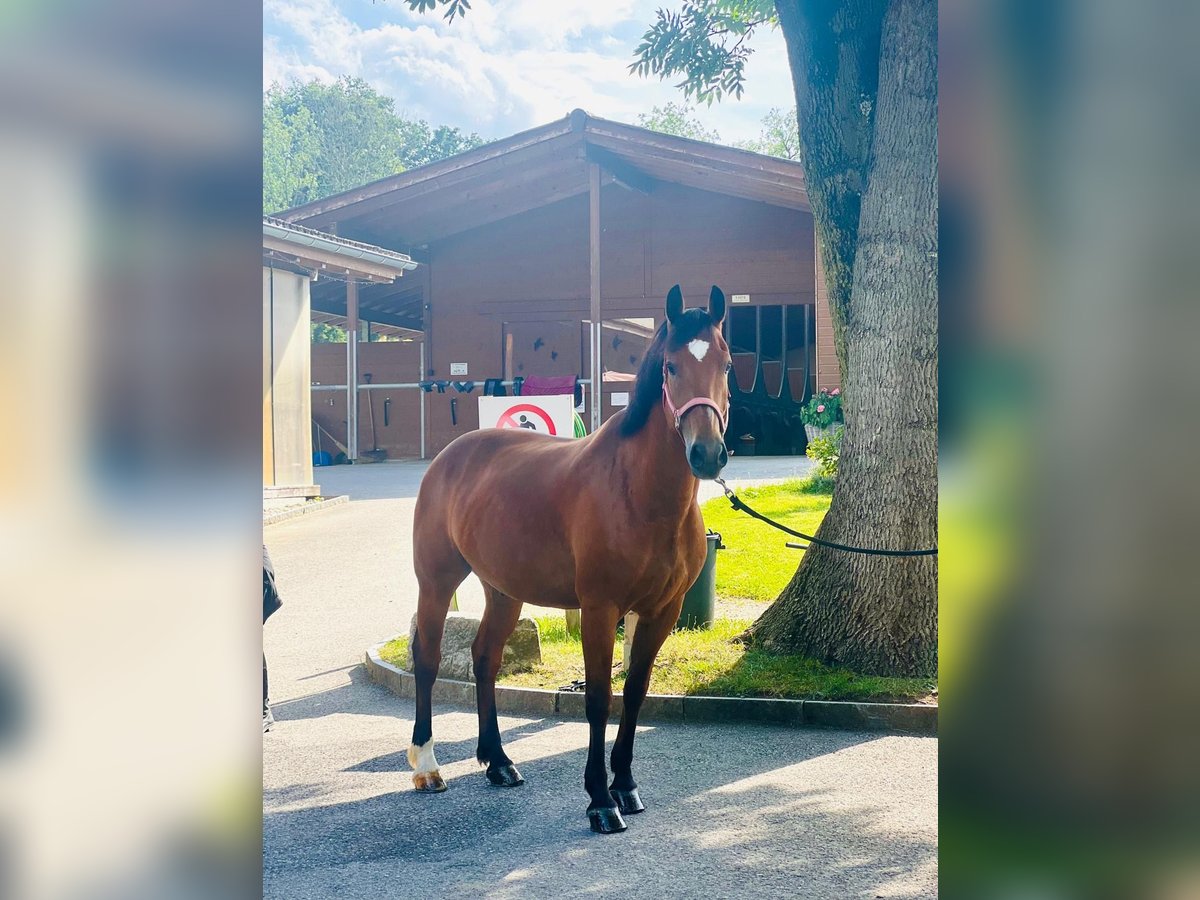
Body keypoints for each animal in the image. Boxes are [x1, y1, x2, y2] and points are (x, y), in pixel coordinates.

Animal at [410, 285, 729, 835]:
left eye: (727, 363)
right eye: (670, 367)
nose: (707, 454)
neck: (637, 492)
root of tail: (450, 456)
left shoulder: (661, 611)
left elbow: (635, 691)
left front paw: (626, 786)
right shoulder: (600, 610)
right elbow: (599, 698)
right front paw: (600, 800)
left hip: (504, 592)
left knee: (485, 658)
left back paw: (499, 763)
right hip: (436, 583)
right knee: (427, 660)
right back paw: (427, 766)